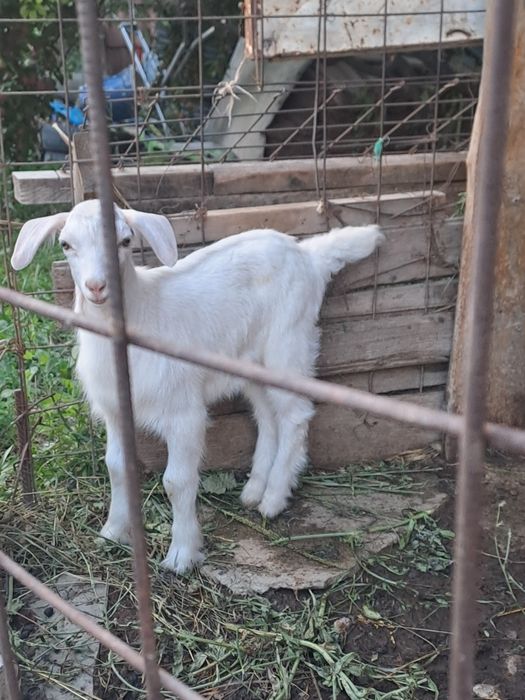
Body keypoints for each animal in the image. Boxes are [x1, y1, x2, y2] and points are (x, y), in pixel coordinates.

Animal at [11, 199, 384, 573]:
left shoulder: (183, 413)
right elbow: (116, 467)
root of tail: (308, 255)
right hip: (250, 362)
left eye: (126, 241)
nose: (97, 287)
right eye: (66, 245)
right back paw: (254, 490)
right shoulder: (115, 411)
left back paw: (275, 498)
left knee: (296, 414)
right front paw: (112, 533)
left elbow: (176, 481)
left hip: (287, 342)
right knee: (267, 418)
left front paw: (182, 554)